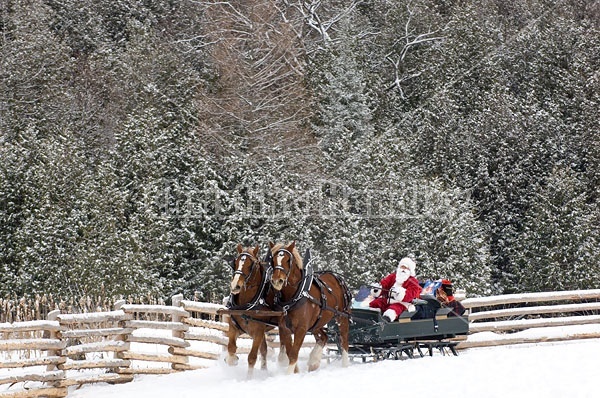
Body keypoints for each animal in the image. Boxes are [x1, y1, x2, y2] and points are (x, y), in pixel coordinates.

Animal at [225, 244, 284, 378]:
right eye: (235, 262)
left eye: (251, 264)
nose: (235, 286)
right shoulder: (234, 327)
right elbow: (231, 348)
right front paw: (232, 360)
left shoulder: (258, 331)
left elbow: (252, 357)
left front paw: (249, 378)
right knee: (264, 350)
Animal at [268, 241, 352, 374]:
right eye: (272, 260)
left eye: (288, 260)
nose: (277, 280)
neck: (294, 296)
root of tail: (337, 277)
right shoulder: (284, 328)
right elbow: (287, 354)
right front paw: (295, 371)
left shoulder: (301, 329)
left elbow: (293, 354)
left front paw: (288, 374)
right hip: (316, 323)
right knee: (324, 337)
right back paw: (314, 362)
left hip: (342, 317)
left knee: (344, 341)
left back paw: (344, 365)